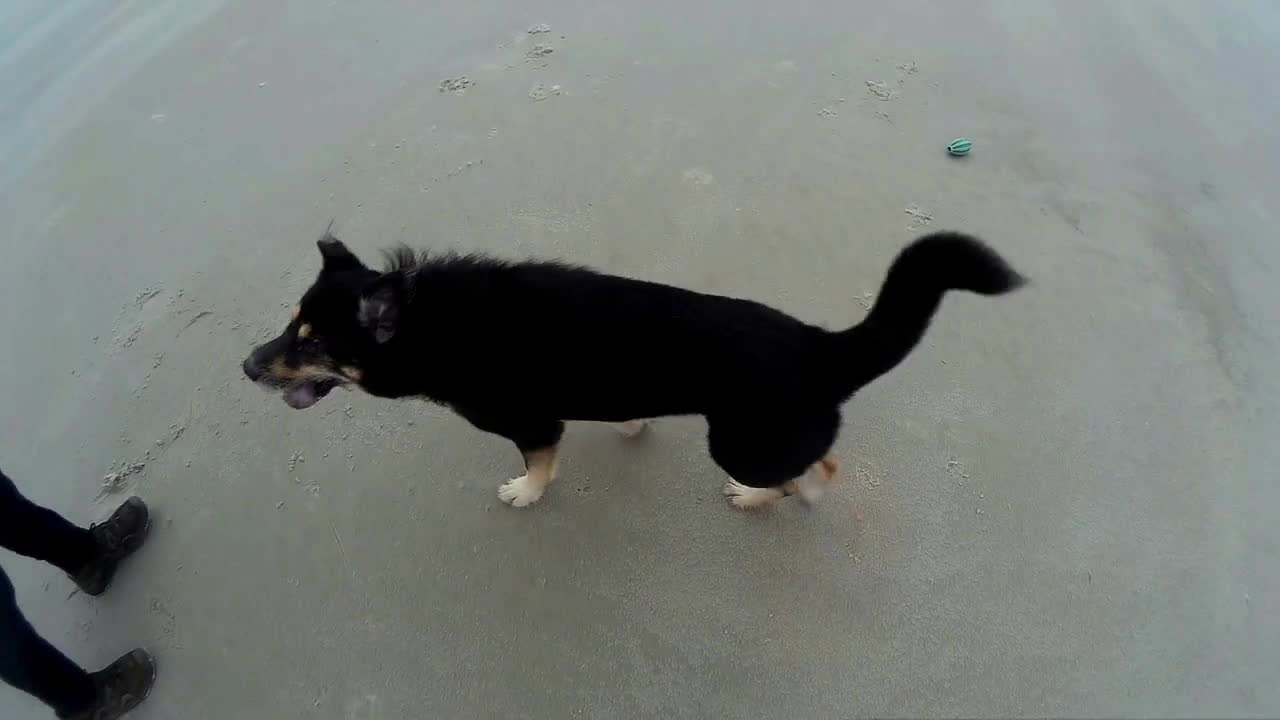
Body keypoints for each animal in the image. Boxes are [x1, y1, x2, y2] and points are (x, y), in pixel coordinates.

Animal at [238, 226, 1018, 507]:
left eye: (310, 344)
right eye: (289, 327)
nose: (245, 366)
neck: (433, 321)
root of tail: (822, 344)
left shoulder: (534, 424)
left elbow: (539, 465)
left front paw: (526, 493)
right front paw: (632, 426)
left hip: (738, 441)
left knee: (818, 467)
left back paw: (763, 497)